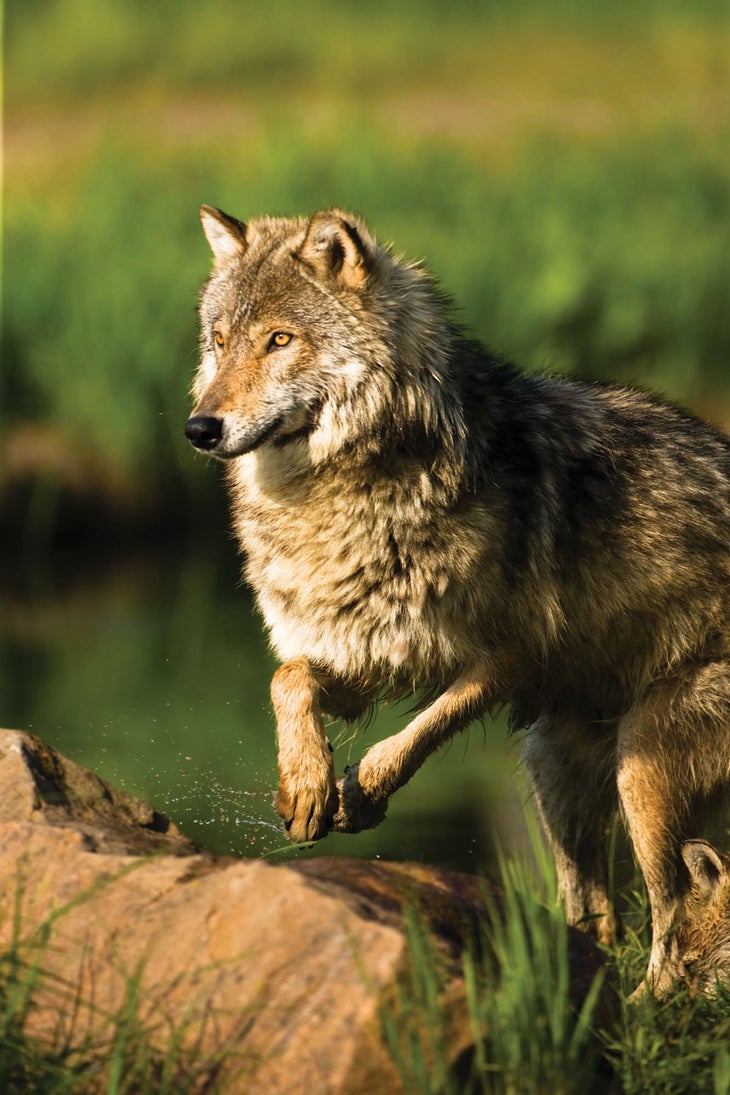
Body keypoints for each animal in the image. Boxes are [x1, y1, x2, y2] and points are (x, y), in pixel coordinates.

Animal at [186, 206, 730, 994]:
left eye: (280, 340)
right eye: (221, 342)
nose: (199, 427)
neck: (342, 496)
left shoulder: (508, 658)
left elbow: (414, 736)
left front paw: (362, 792)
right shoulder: (364, 651)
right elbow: (289, 679)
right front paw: (307, 785)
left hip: (643, 767)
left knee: (671, 912)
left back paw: (642, 1006)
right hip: (557, 767)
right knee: (600, 911)